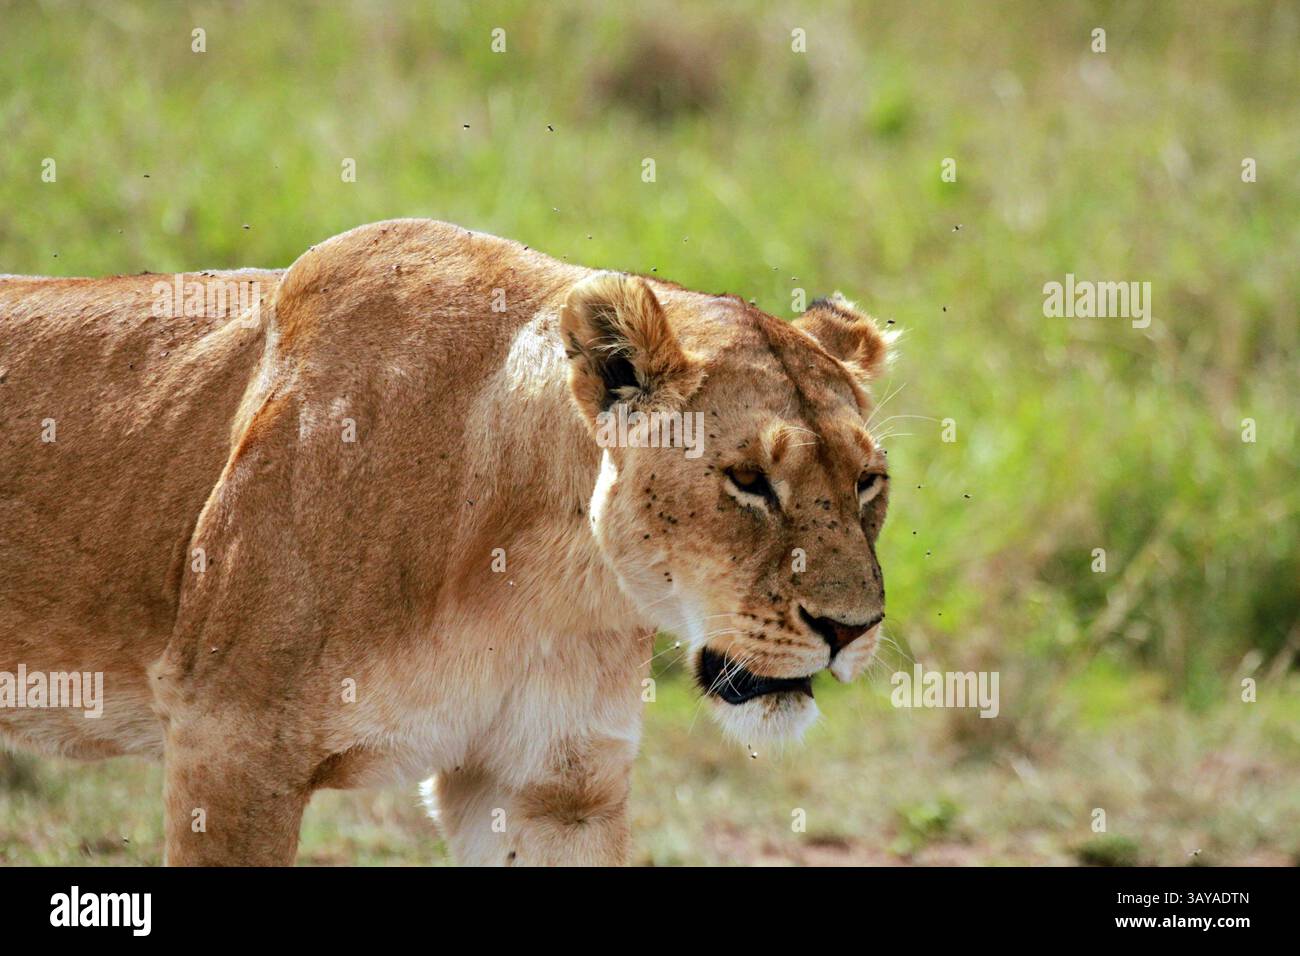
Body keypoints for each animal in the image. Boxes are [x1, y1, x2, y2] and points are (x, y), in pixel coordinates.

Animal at [0, 219, 894, 865]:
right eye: (747, 480)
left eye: (867, 482)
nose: (850, 630)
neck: (546, 579)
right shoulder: (230, 747)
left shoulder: (550, 790)